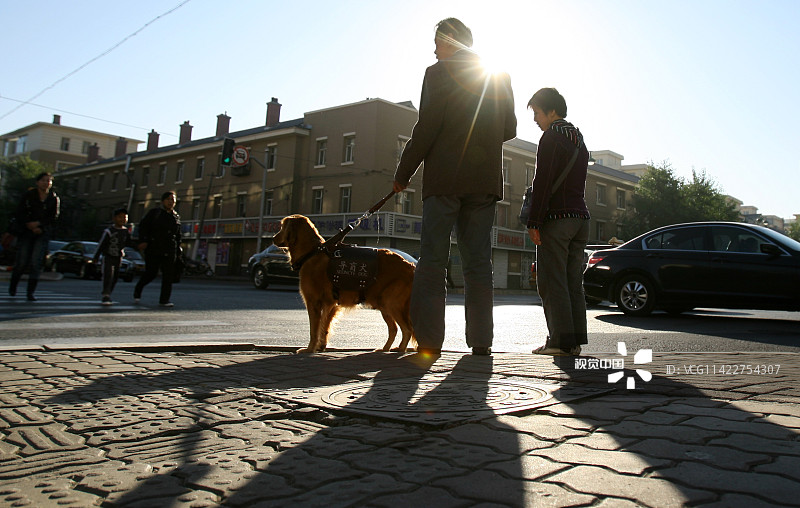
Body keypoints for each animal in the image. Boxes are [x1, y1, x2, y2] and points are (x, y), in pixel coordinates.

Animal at [272, 214, 416, 354]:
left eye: (282, 227)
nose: (273, 238)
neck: (312, 252)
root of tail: (410, 265)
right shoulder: (331, 304)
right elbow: (324, 326)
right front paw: (321, 346)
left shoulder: (314, 301)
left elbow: (314, 329)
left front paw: (309, 349)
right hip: (384, 304)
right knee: (394, 329)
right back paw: (385, 348)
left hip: (391, 302)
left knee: (407, 329)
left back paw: (401, 349)